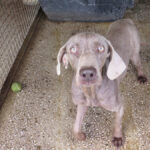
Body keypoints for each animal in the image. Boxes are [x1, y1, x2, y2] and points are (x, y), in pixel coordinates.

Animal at [56, 18, 146, 147]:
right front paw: (80, 135)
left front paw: (117, 137)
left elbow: (117, 123)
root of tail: (125, 19)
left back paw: (142, 76)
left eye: (101, 48)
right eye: (73, 49)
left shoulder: (119, 106)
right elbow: (76, 126)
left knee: (138, 63)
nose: (88, 73)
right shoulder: (81, 104)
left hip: (134, 52)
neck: (91, 91)